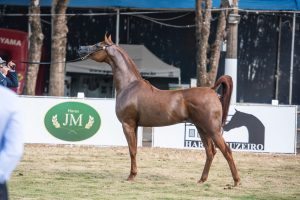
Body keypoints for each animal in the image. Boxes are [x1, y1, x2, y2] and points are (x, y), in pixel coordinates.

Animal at [78, 34, 240, 186]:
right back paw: (202, 180)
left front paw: (131, 176)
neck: (129, 86)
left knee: (226, 151)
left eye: (98, 45)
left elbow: (131, 150)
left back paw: (236, 181)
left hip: (212, 130)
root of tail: (212, 91)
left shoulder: (127, 124)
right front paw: (134, 174)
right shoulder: (135, 126)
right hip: (202, 129)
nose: (80, 48)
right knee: (210, 152)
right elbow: (135, 149)